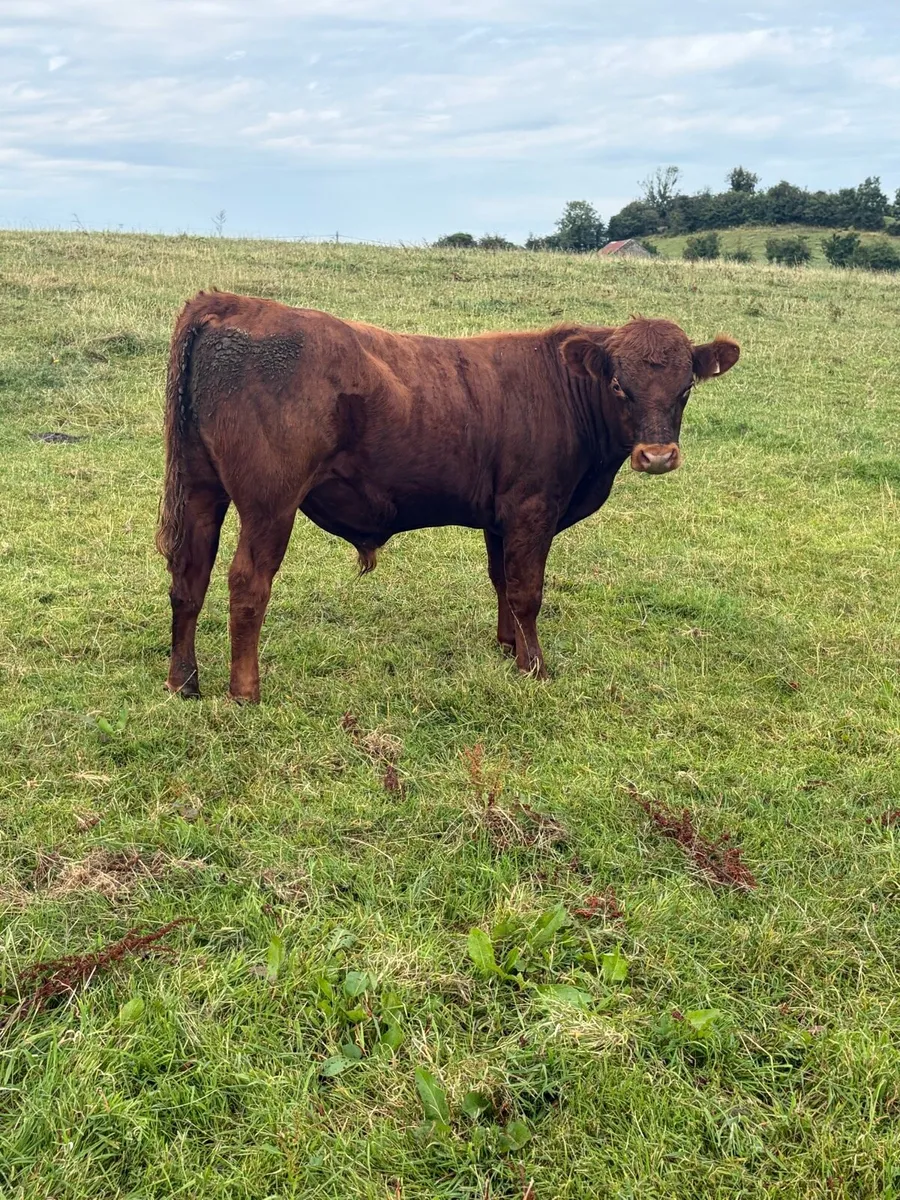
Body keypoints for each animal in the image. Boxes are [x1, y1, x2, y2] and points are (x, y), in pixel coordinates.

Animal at [157, 292, 739, 702]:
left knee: (189, 577)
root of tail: (232, 302)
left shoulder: (500, 517)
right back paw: (244, 692)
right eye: (620, 385)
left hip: (202, 490)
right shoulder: (532, 508)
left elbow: (502, 580)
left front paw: (508, 647)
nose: (657, 455)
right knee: (246, 583)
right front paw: (534, 667)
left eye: (686, 387)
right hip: (269, 504)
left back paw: (184, 681)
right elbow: (528, 591)